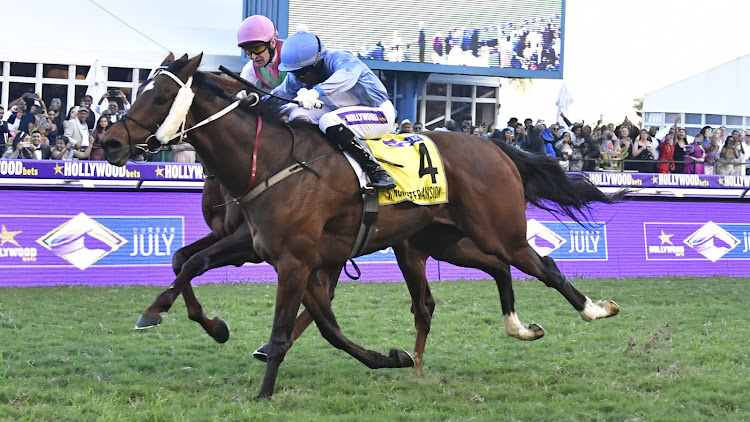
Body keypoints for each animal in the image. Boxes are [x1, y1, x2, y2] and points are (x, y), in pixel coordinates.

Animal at [104, 53, 624, 398]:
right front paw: (187, 318)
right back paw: (505, 333)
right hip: (441, 240)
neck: (268, 161)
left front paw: (263, 394)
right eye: (135, 90)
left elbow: (287, 328)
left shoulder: (294, 261)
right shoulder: (270, 251)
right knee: (486, 273)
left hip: (500, 230)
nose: (109, 143)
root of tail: (494, 146)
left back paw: (595, 310)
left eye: (162, 96)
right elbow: (189, 262)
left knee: (543, 266)